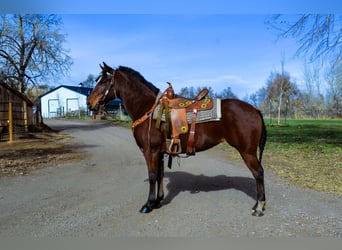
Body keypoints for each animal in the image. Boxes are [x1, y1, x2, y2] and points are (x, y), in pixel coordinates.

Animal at [86, 63, 268, 217]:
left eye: (104, 81)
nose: (89, 103)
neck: (148, 109)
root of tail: (255, 109)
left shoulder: (150, 151)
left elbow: (152, 176)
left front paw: (148, 204)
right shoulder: (159, 152)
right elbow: (160, 175)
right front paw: (158, 201)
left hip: (247, 152)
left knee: (258, 173)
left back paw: (259, 207)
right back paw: (257, 205)